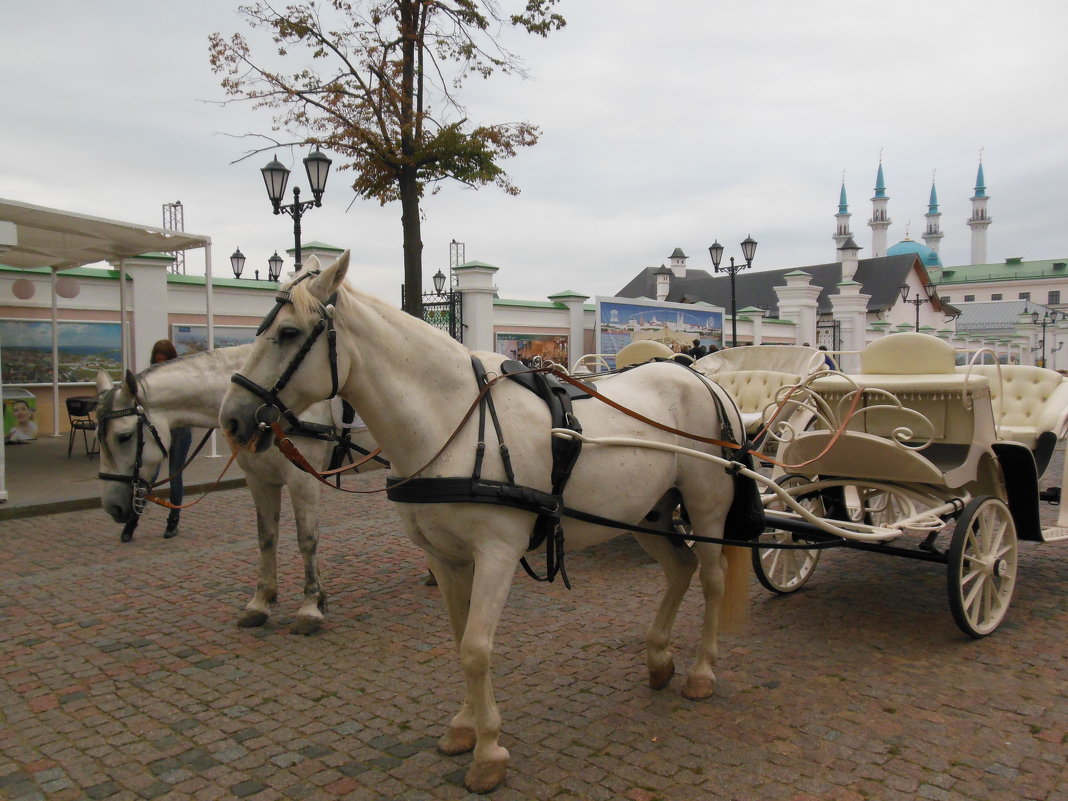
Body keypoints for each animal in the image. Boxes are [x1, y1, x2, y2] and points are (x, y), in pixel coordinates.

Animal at [92, 348, 384, 636]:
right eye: (97, 436)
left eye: (124, 436)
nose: (113, 505)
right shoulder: (259, 480)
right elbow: (266, 538)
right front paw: (261, 602)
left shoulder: (302, 479)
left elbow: (307, 539)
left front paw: (310, 607)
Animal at [221, 254, 747, 794]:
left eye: (287, 332)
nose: (232, 421)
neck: (450, 423)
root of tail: (703, 379)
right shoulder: (445, 557)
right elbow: (459, 642)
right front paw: (464, 727)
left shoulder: (497, 552)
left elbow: (476, 648)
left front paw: (489, 751)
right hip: (646, 513)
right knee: (680, 570)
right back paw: (659, 659)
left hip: (706, 507)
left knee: (712, 579)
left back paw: (702, 672)